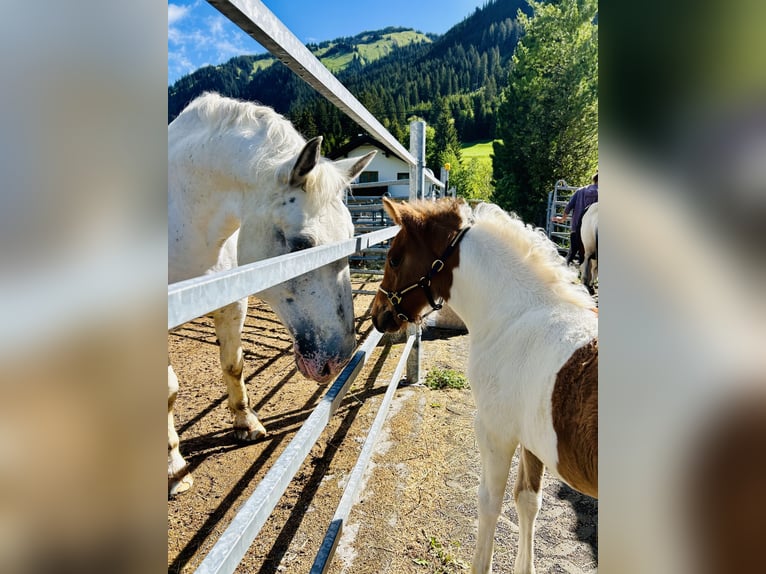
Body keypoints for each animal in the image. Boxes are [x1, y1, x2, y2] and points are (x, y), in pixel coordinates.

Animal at [168, 92, 376, 498]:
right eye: (301, 245)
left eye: (350, 236)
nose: (337, 361)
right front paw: (173, 469)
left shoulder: (231, 301)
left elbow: (234, 365)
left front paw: (246, 423)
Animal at [374, 199, 600, 574]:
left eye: (393, 258)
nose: (378, 315)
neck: (516, 316)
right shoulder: (531, 439)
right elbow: (528, 500)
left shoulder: (495, 432)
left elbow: (490, 502)